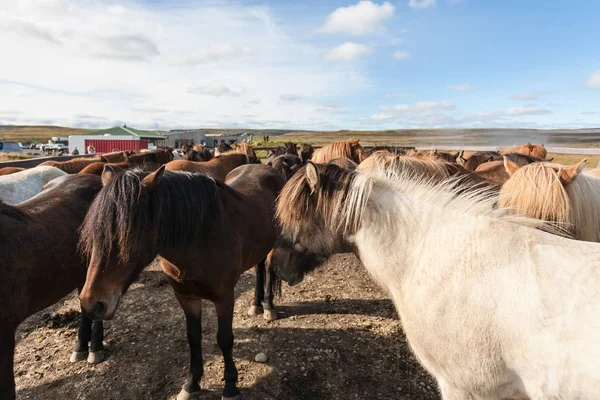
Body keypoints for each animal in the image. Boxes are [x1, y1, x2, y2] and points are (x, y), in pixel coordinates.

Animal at [78, 163, 284, 400]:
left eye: (126, 236)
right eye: (93, 234)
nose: (91, 303)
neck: (200, 237)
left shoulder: (224, 297)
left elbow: (224, 339)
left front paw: (230, 386)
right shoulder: (186, 297)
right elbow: (193, 338)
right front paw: (191, 383)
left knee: (267, 269)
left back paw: (268, 307)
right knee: (259, 270)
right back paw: (256, 305)